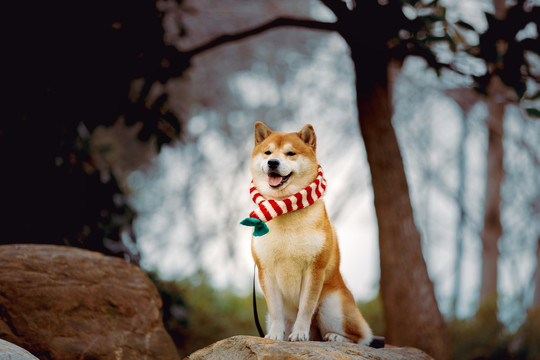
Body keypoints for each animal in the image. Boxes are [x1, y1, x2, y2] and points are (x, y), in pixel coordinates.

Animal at [244, 122, 372, 344]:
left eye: (290, 153)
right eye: (268, 152)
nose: (273, 162)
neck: (285, 208)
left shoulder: (314, 269)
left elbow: (305, 307)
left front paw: (299, 334)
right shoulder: (266, 270)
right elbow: (275, 310)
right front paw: (275, 335)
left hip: (332, 307)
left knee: (361, 337)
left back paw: (334, 337)